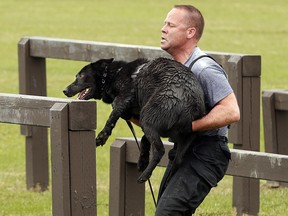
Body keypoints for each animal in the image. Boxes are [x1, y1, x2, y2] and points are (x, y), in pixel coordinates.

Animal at [63, 57, 205, 182]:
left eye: (80, 76)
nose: (65, 90)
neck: (114, 75)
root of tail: (191, 101)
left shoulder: (122, 99)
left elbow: (112, 118)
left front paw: (102, 137)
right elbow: (143, 139)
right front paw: (142, 160)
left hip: (147, 116)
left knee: (160, 150)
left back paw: (145, 175)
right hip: (186, 135)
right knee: (177, 159)